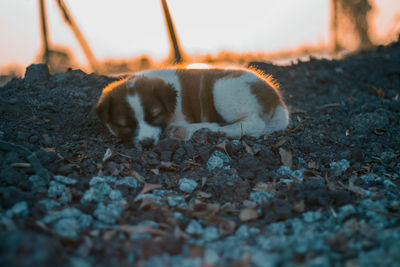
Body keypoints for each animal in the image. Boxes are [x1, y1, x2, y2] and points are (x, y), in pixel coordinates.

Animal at [95, 67, 290, 147]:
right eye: (124, 125)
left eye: (156, 115)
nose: (147, 143)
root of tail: (277, 101)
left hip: (222, 90)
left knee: (254, 123)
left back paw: (218, 131)